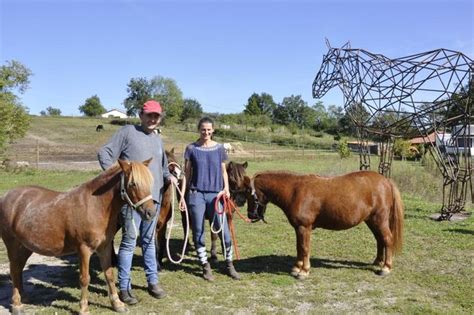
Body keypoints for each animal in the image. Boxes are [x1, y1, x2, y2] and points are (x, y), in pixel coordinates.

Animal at [0, 160, 156, 315]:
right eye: (133, 184)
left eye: (150, 183)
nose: (151, 213)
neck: (95, 205)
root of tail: (7, 196)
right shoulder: (84, 250)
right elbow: (85, 279)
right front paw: (84, 308)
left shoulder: (104, 248)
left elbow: (109, 274)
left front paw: (117, 304)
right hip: (12, 245)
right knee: (14, 270)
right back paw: (17, 305)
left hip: (25, 247)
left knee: (18, 269)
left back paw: (23, 297)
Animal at [244, 170, 404, 278]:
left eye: (249, 195)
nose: (251, 215)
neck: (294, 191)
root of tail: (386, 180)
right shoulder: (298, 228)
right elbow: (299, 248)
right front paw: (297, 268)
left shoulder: (304, 227)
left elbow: (305, 248)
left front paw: (304, 271)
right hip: (371, 220)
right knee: (379, 240)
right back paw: (377, 262)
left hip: (379, 220)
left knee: (387, 239)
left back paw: (386, 268)